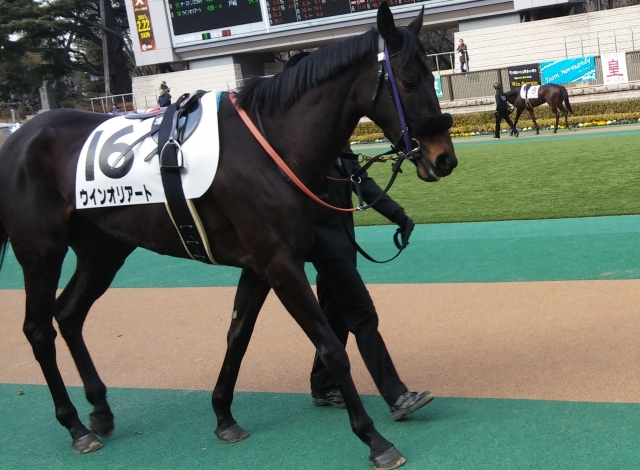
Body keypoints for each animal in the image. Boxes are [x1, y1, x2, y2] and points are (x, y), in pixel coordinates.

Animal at [0, 3, 457, 469]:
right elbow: (331, 348)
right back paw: (75, 426)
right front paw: (374, 440)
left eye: (429, 73)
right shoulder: (280, 264)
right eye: (409, 81)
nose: (445, 159)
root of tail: (18, 138)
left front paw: (223, 415)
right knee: (38, 329)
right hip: (41, 251)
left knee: (69, 314)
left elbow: (238, 335)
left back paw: (100, 411)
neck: (271, 147)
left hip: (103, 249)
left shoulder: (259, 265)